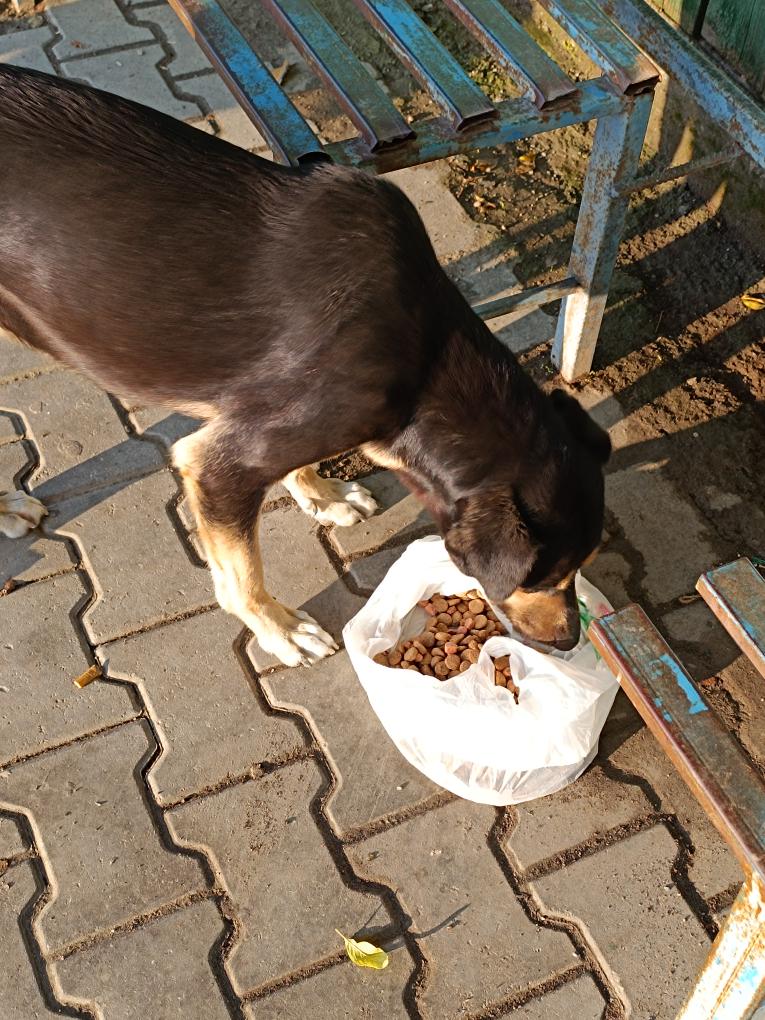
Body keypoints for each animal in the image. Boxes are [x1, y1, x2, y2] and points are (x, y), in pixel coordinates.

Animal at [0, 64, 610, 667]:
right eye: (544, 577)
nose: (569, 642)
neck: (426, 356)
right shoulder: (219, 466)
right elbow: (241, 576)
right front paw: (279, 629)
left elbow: (298, 464)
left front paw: (321, 495)